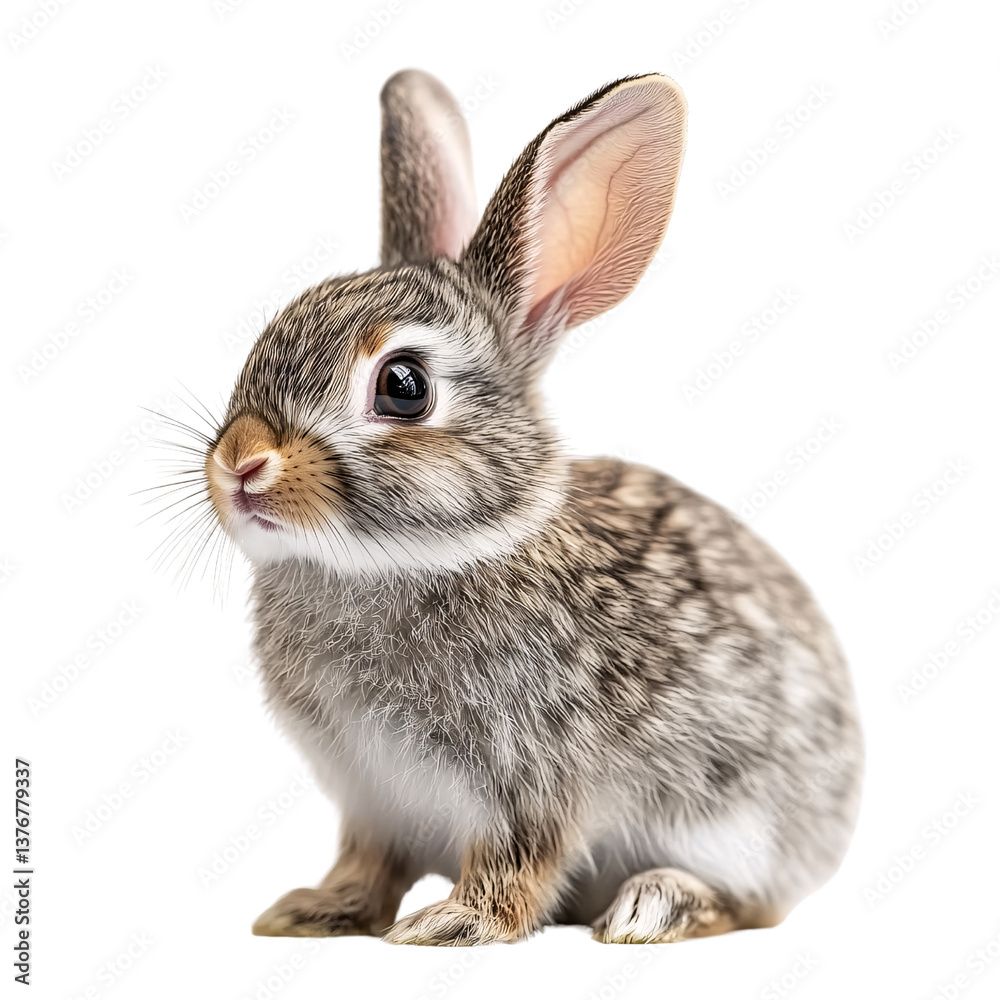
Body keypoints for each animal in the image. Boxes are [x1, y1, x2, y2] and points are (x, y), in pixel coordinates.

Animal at [199, 69, 863, 946]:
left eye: (403, 386)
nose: (240, 465)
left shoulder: (530, 781)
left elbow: (517, 864)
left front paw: (451, 924)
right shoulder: (373, 800)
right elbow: (367, 863)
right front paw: (317, 909)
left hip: (746, 822)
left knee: (752, 903)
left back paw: (653, 905)